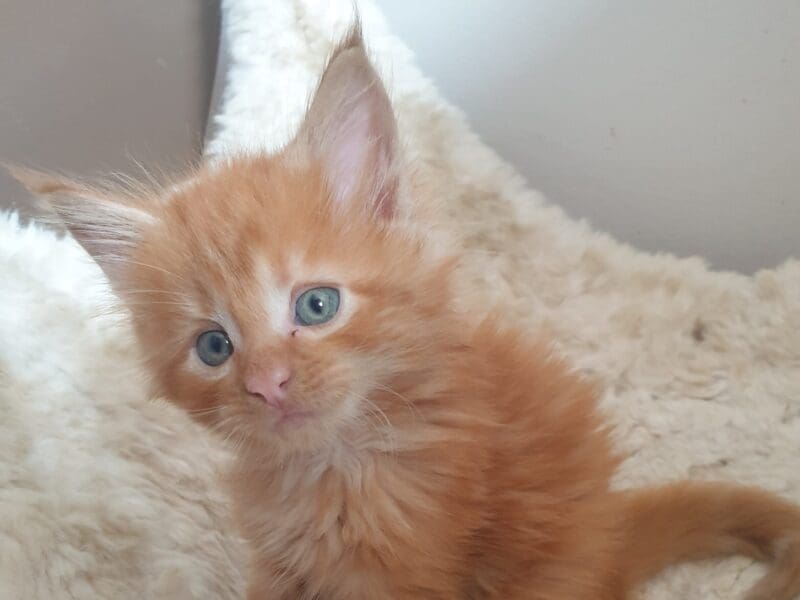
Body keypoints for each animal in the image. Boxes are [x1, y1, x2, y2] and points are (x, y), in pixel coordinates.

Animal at [18, 27, 800, 600]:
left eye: (317, 305)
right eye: (214, 347)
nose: (267, 385)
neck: (335, 470)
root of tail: (608, 532)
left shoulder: (415, 565)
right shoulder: (281, 566)